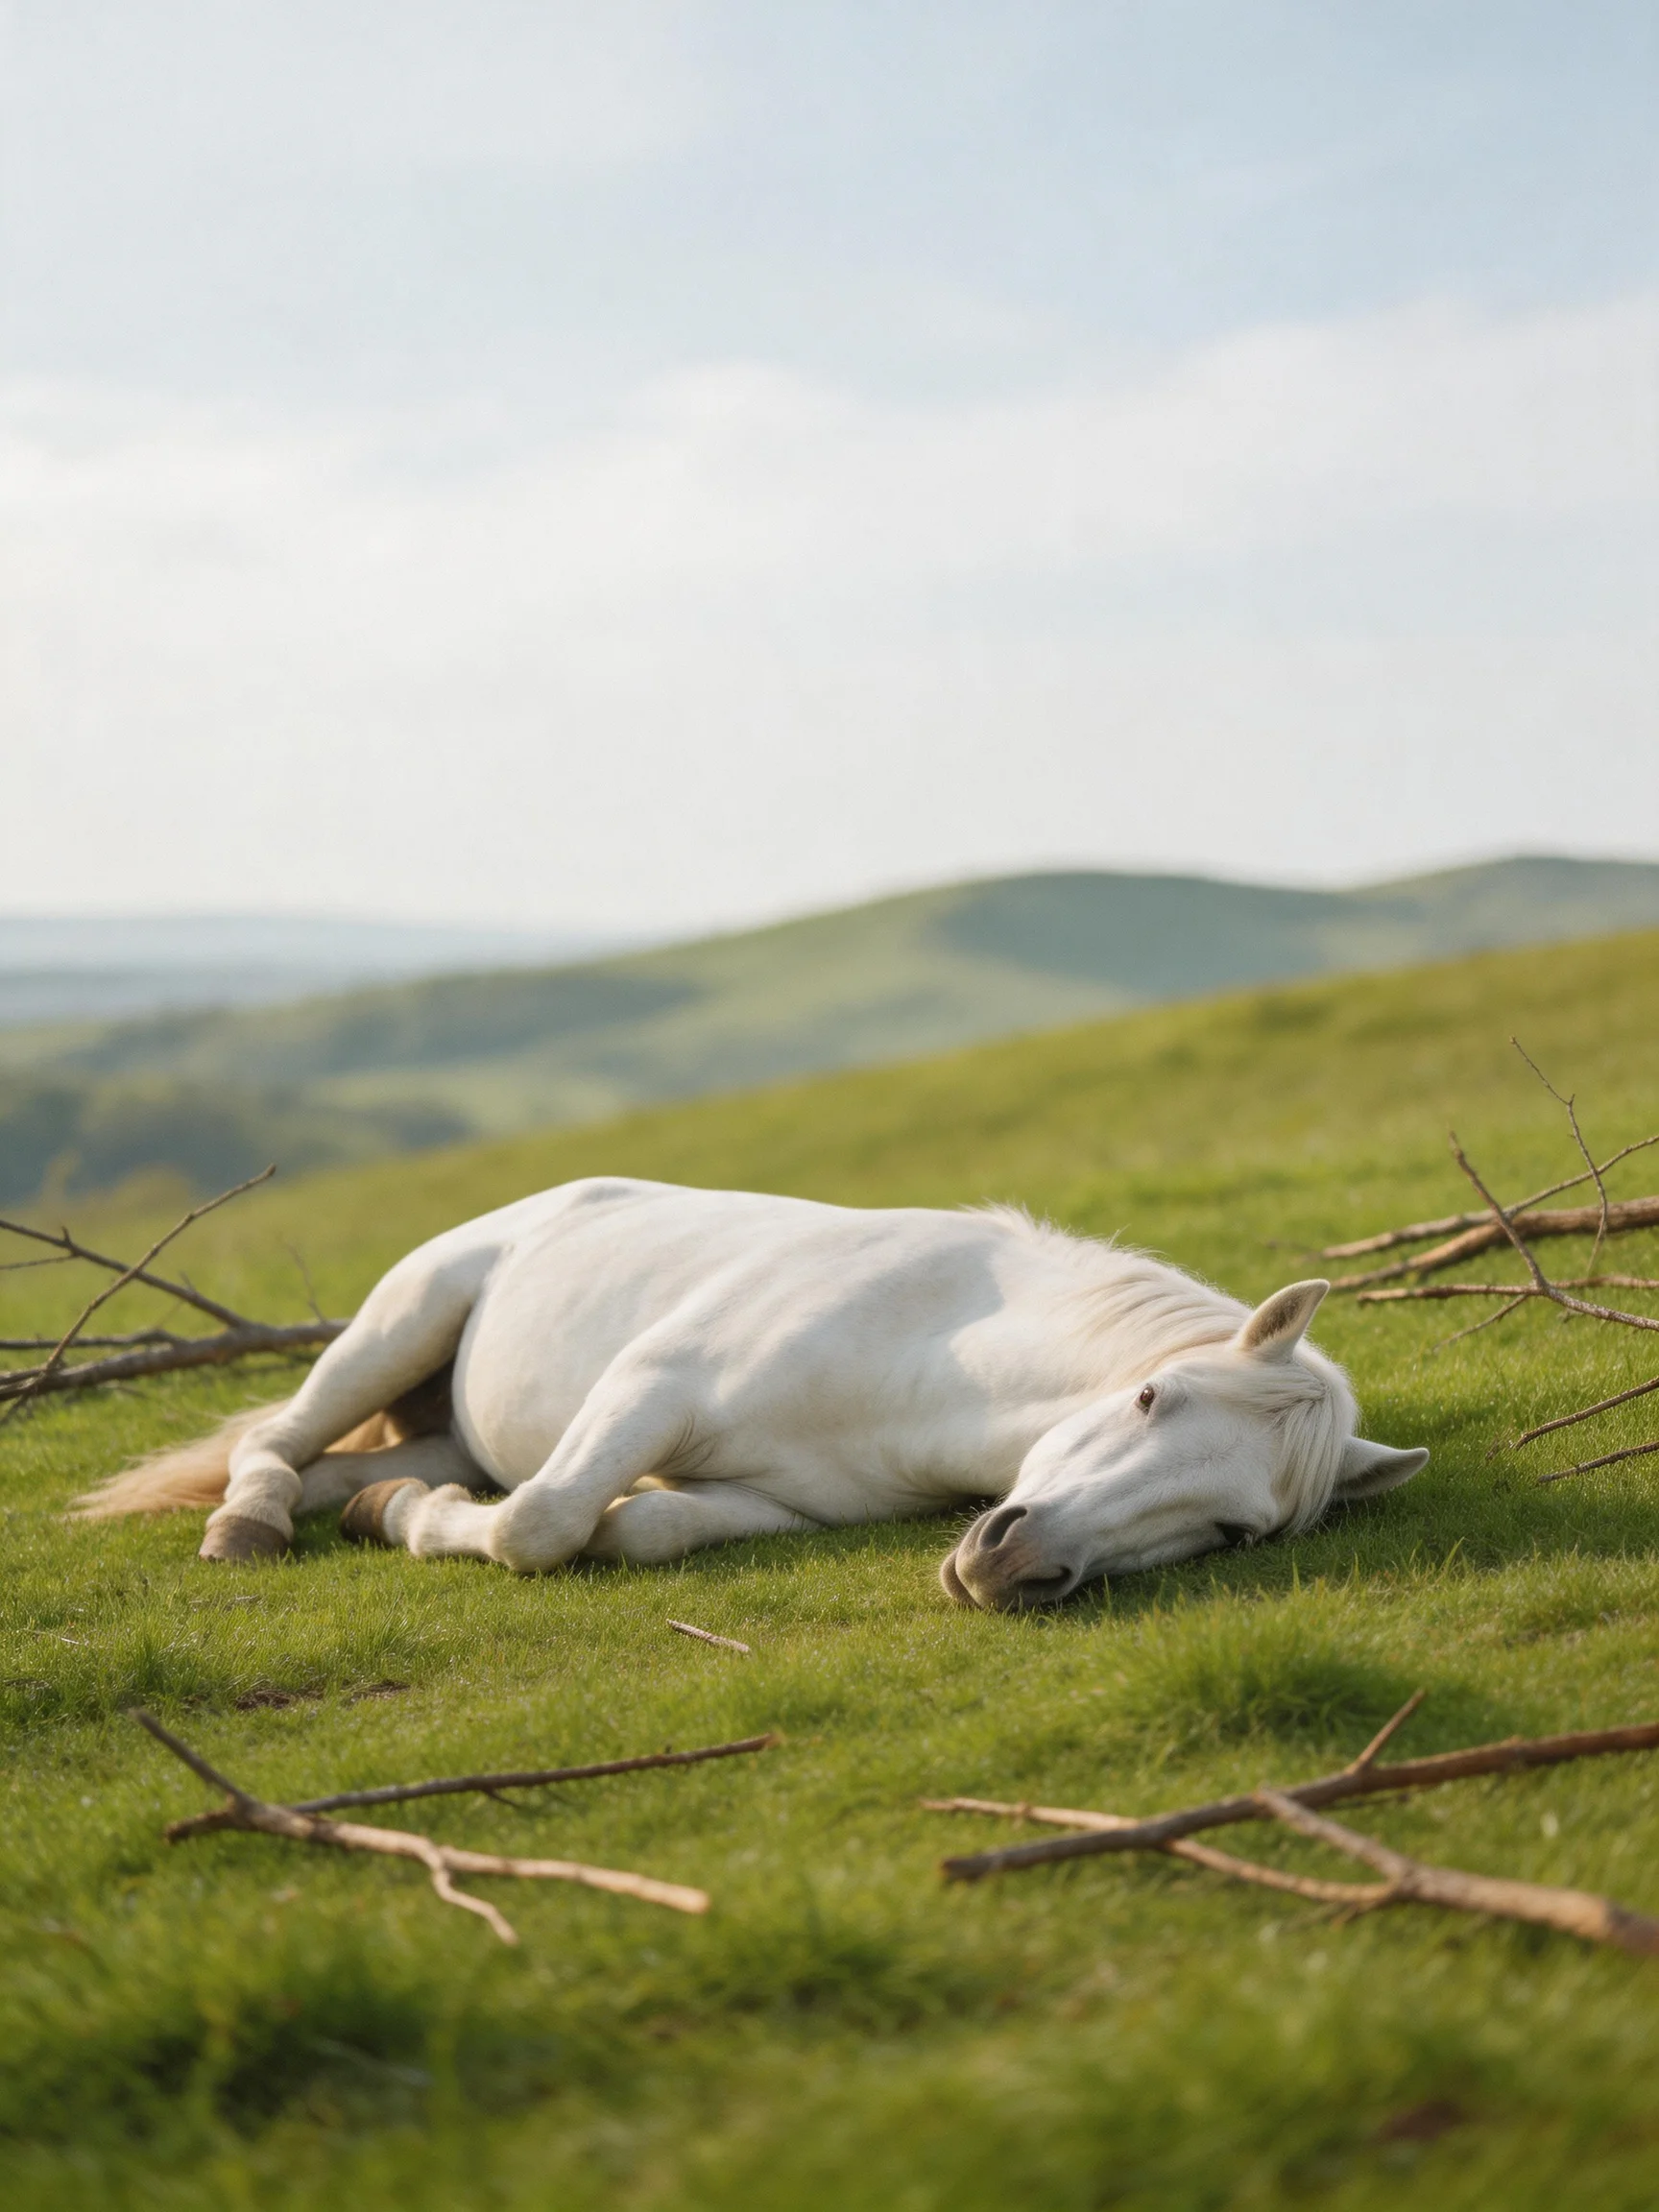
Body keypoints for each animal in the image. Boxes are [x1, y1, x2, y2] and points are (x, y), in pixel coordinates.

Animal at [76, 1177, 1427, 1609]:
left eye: (1234, 1532)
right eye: (1151, 1400)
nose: (1012, 1568)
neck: (930, 1354)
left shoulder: (772, 1503)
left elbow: (640, 1529)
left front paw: (403, 1520)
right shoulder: (648, 1389)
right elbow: (542, 1526)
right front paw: (433, 1531)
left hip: (450, 1431)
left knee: (341, 1471)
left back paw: (362, 1503)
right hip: (400, 1325)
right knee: (274, 1440)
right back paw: (244, 1528)